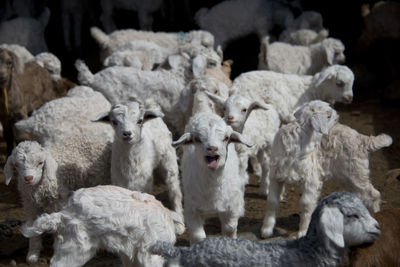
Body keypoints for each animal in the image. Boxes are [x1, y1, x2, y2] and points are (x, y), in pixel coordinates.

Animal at [173, 112, 252, 245]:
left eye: (226, 138)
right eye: (197, 139)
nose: (212, 148)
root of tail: (205, 113)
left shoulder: (230, 208)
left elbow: (230, 229)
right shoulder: (192, 209)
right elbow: (198, 236)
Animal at [260, 100, 340, 239]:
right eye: (328, 116)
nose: (338, 116)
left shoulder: (310, 180)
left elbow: (306, 204)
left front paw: (303, 231)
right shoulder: (276, 175)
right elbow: (272, 201)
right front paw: (266, 229)